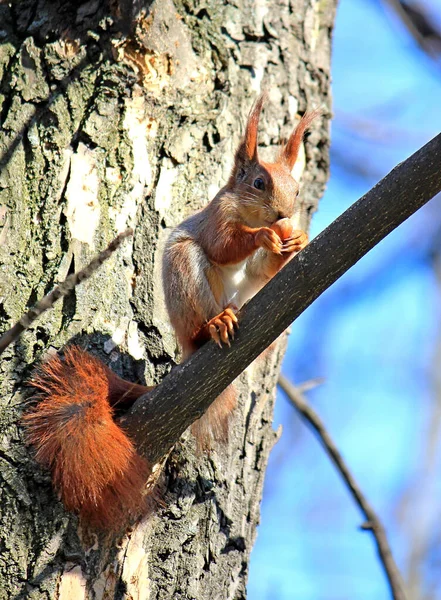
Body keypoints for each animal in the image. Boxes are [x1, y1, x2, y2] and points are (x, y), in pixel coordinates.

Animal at [163, 94, 318, 448]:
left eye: (297, 190)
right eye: (259, 183)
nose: (284, 214)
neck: (252, 218)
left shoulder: (260, 267)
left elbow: (264, 270)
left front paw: (297, 239)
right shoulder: (217, 216)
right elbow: (222, 245)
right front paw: (261, 236)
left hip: (244, 293)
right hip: (185, 277)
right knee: (199, 326)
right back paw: (216, 323)